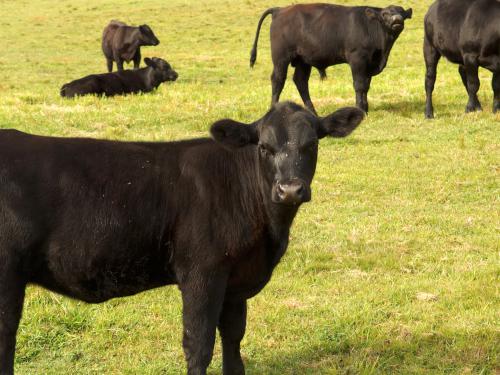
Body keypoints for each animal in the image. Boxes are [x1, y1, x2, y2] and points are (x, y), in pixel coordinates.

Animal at [0, 102, 364, 375]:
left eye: (312, 144)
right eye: (264, 147)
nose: (289, 190)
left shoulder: (236, 280)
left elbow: (233, 341)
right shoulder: (202, 273)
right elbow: (199, 345)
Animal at [248, 3, 412, 114]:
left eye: (402, 13)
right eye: (385, 14)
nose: (397, 20)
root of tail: (279, 10)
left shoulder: (370, 63)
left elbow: (366, 85)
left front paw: (365, 108)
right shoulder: (357, 59)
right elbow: (359, 85)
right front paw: (361, 110)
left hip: (303, 60)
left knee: (301, 81)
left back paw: (312, 112)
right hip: (281, 58)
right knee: (278, 80)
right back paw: (274, 108)